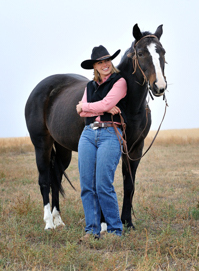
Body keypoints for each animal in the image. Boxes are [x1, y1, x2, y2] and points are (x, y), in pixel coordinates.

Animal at [25, 23, 168, 232]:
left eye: (162, 52)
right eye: (141, 53)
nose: (159, 87)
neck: (129, 105)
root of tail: (41, 88)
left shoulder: (135, 148)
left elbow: (129, 184)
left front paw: (127, 222)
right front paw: (102, 224)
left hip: (62, 148)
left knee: (56, 178)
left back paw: (59, 220)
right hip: (42, 145)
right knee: (44, 180)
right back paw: (49, 223)